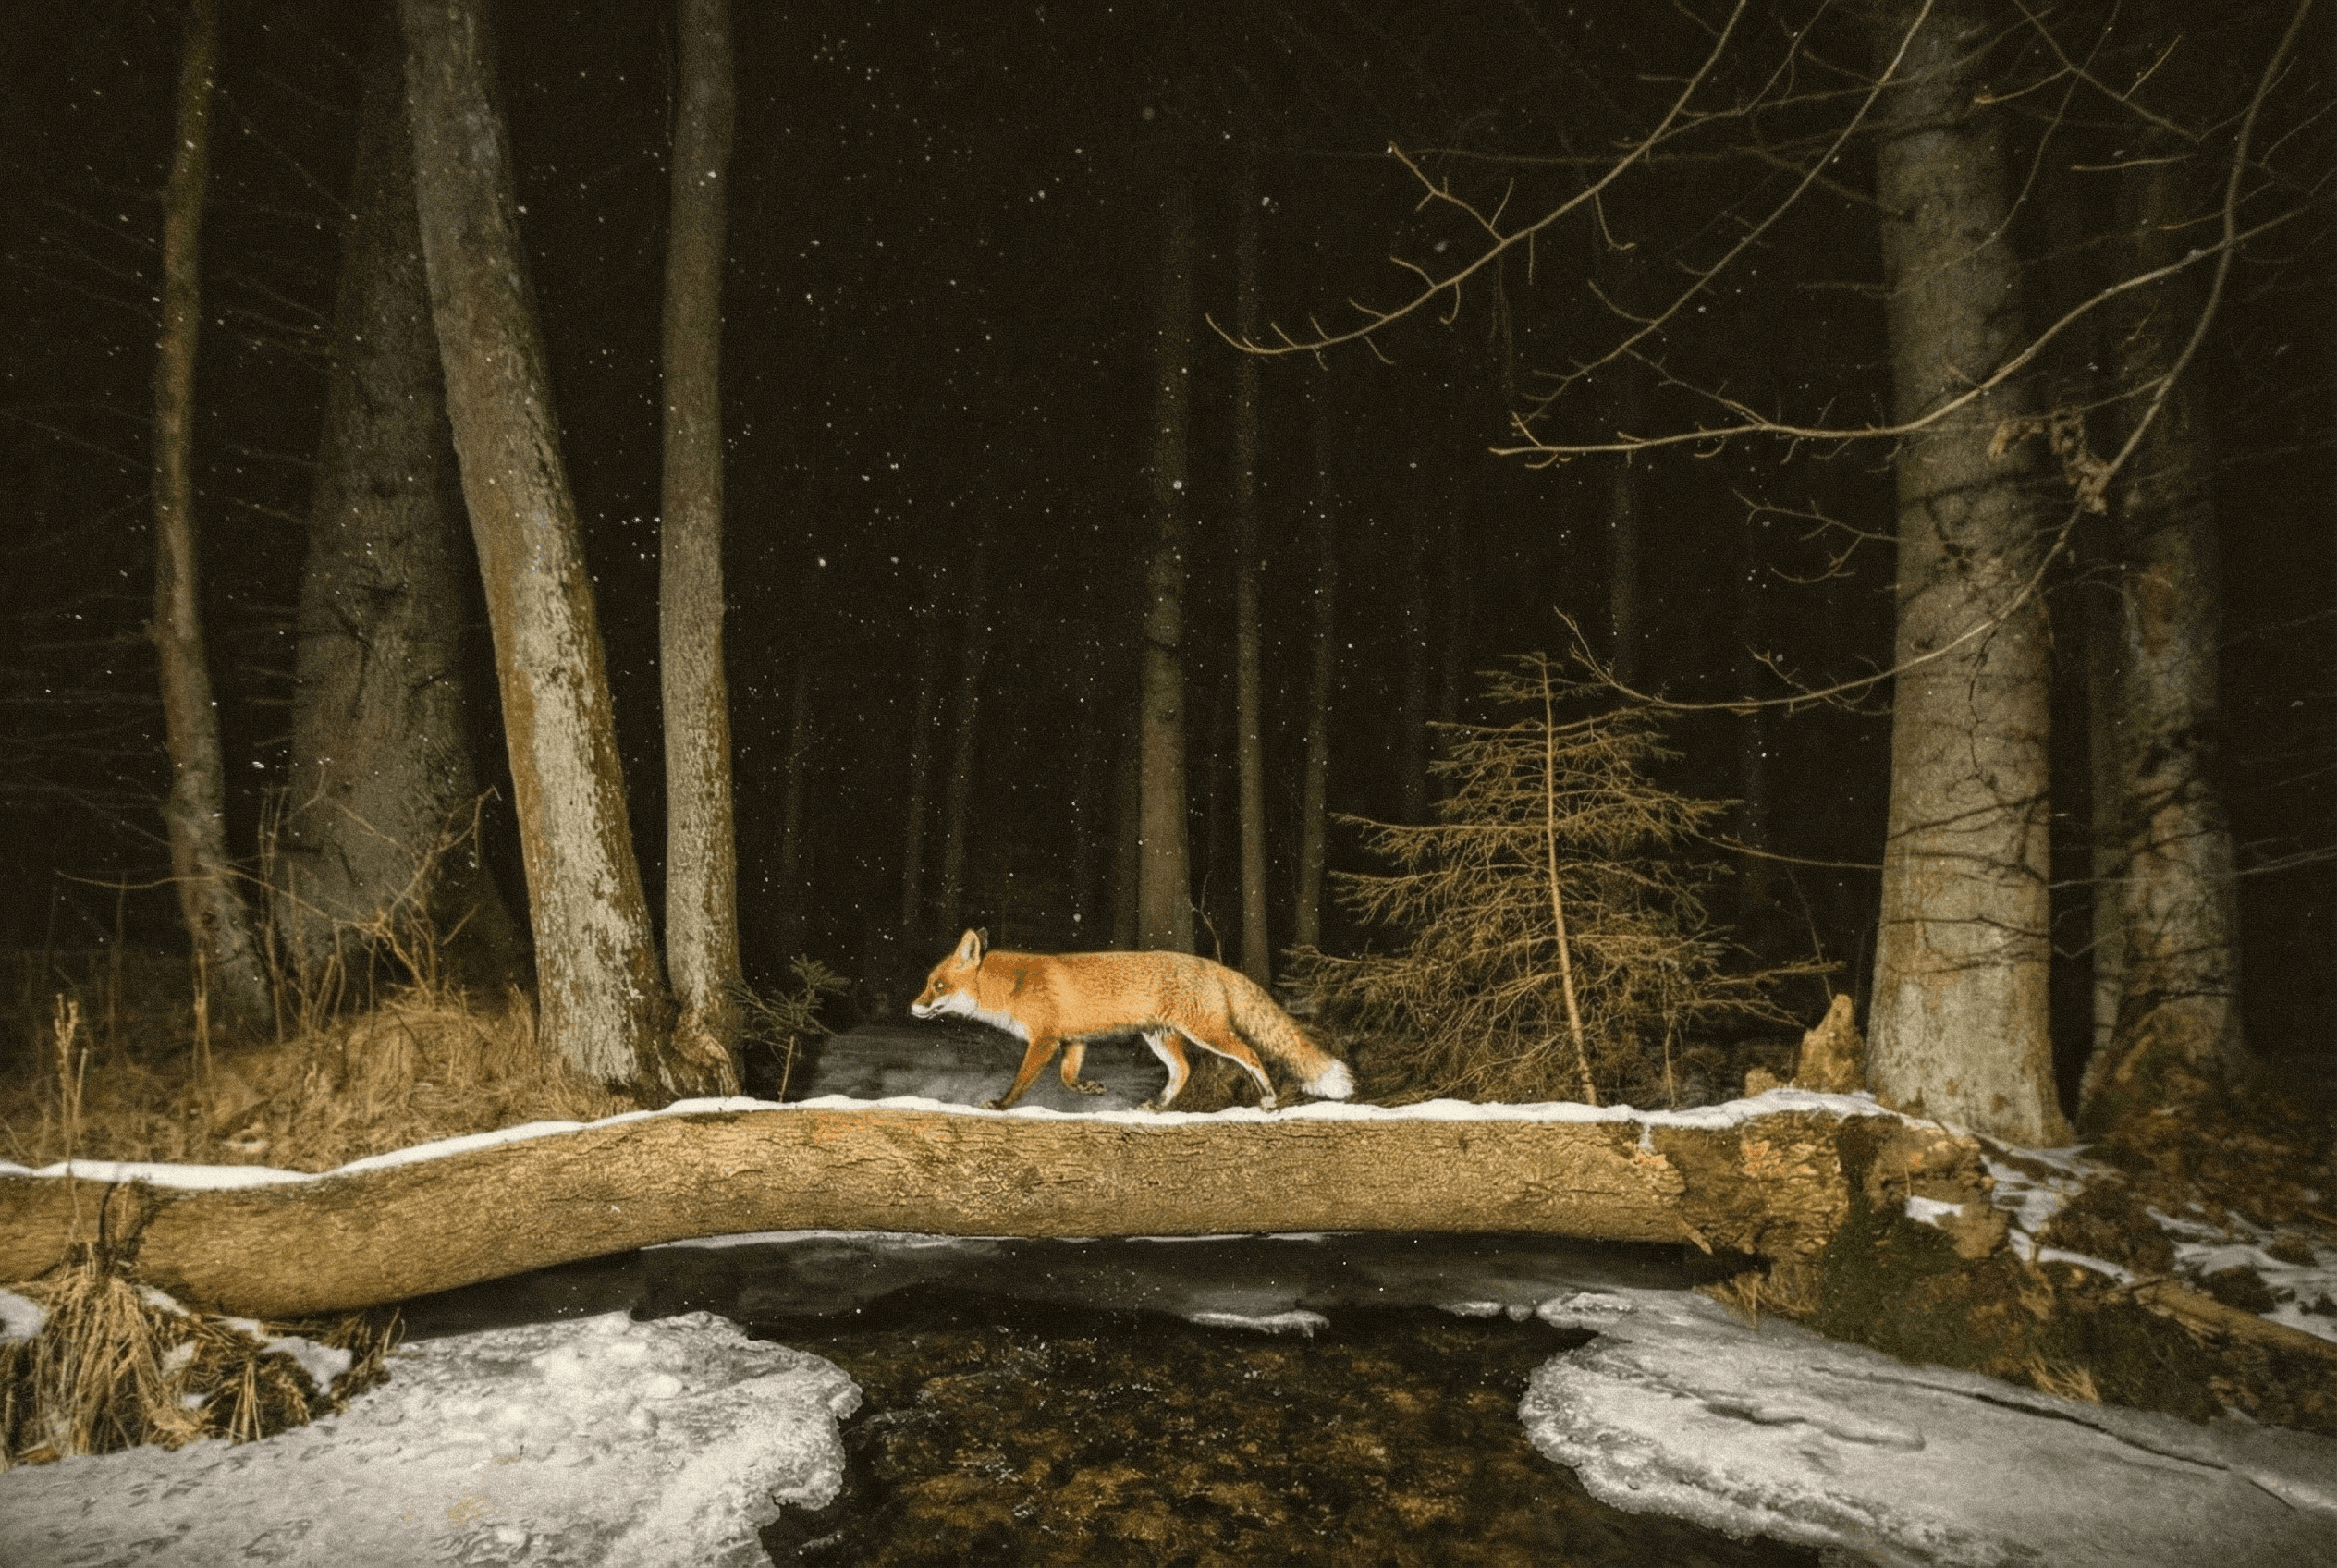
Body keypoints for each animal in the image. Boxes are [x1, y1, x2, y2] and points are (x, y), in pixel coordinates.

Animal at [909, 927, 1356, 1113]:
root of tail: (1216, 965)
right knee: (1183, 1070)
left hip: (1208, 1033)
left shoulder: (1045, 1039)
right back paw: (1158, 1106)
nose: (912, 1007)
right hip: (1161, 1038)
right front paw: (1089, 1089)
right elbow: (1067, 1079)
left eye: (936, 985)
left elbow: (1022, 1081)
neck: (1014, 986)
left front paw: (1002, 1106)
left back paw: (1268, 1099)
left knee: (1250, 1055)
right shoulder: (1074, 1040)